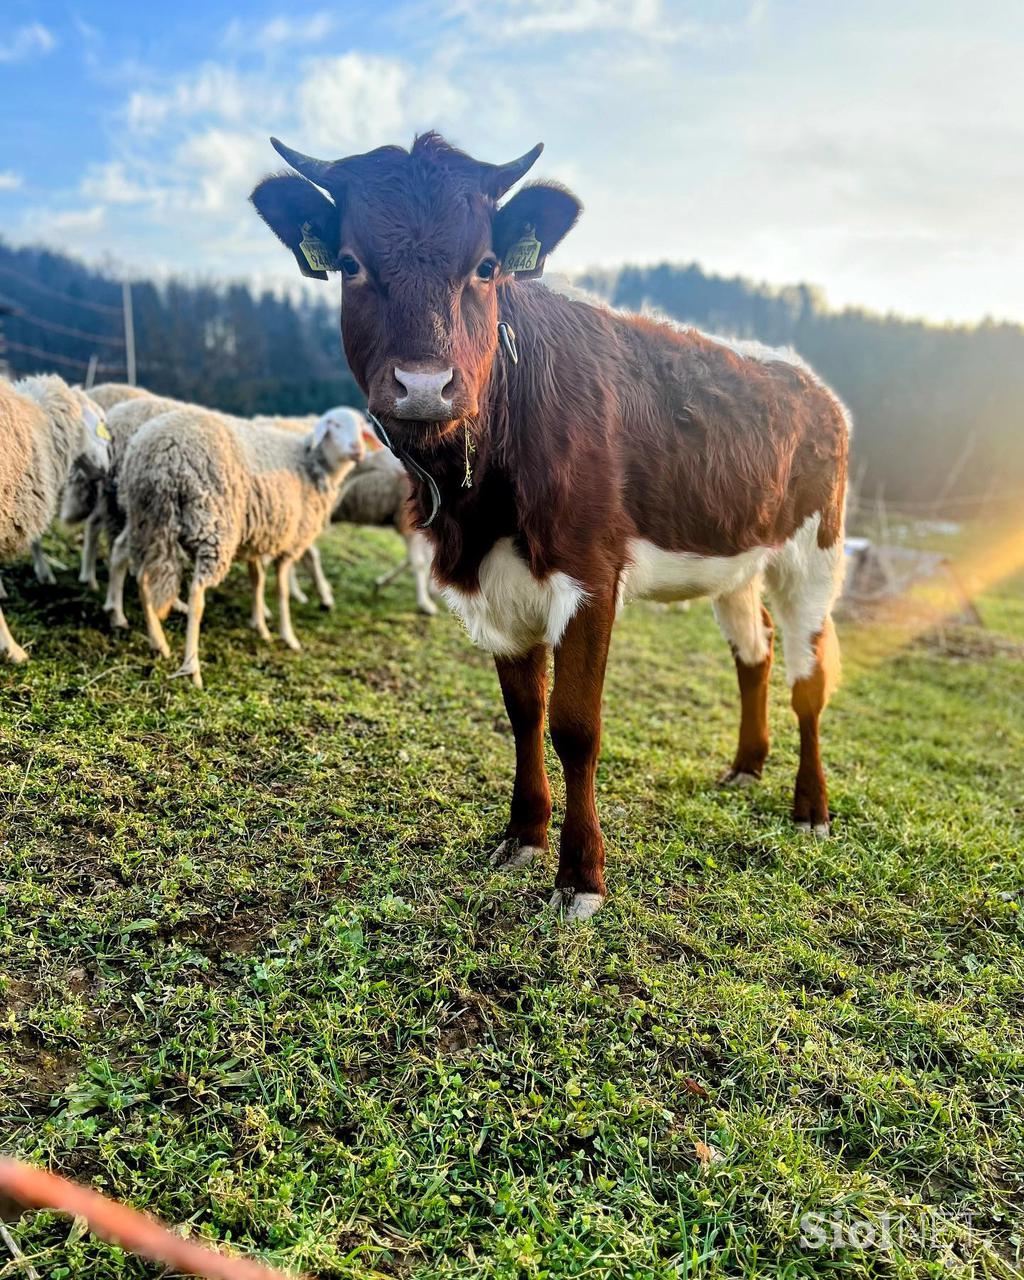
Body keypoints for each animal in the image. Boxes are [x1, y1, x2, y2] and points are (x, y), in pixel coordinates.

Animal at [119, 409, 363, 691]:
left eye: (361, 427)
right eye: (334, 424)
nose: (358, 450)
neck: (313, 464)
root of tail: (159, 451)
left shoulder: (255, 540)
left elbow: (257, 581)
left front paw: (261, 627)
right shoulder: (290, 542)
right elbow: (281, 591)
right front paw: (288, 636)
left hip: (146, 521)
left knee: (143, 578)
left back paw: (158, 642)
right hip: (214, 526)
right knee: (196, 596)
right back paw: (192, 668)